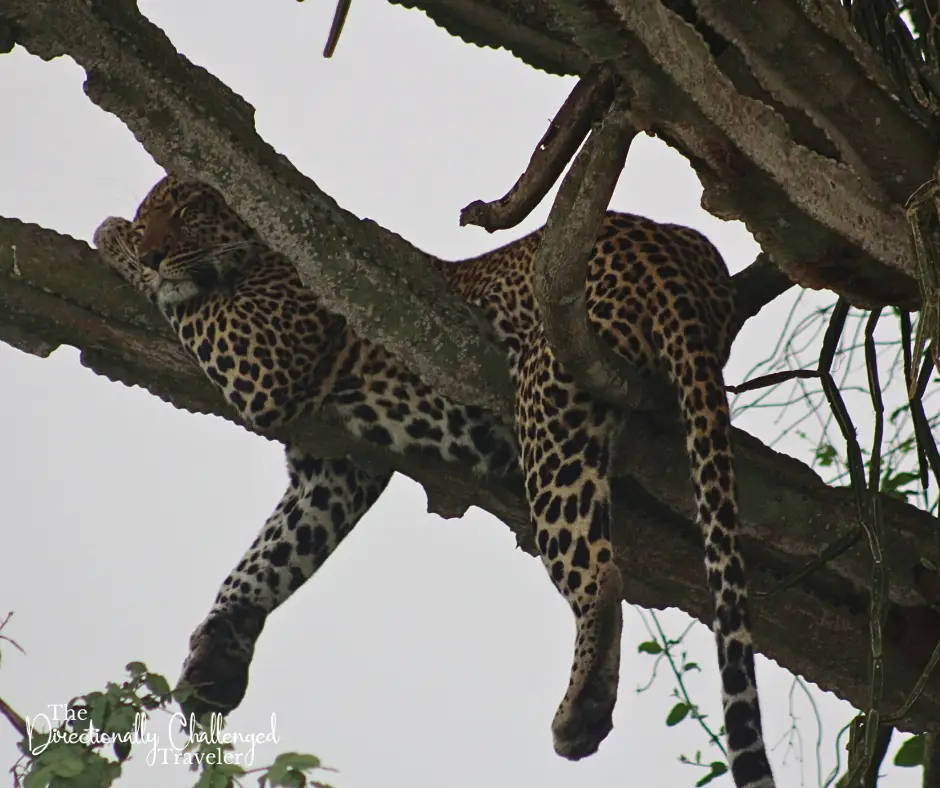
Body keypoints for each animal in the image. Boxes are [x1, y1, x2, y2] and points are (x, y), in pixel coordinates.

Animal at [94, 174, 775, 788]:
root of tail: (676, 252)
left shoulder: (264, 365)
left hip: (550, 397)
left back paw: (581, 710)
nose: (154, 250)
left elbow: (180, 300)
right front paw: (218, 653)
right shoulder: (334, 470)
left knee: (598, 572)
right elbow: (271, 556)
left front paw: (112, 236)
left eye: (189, 212)